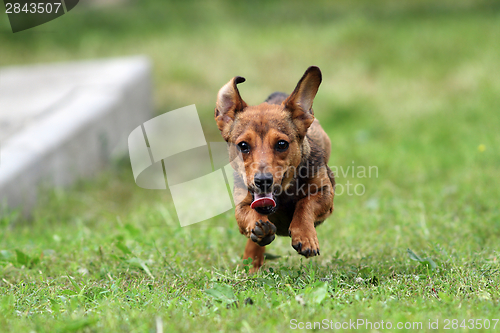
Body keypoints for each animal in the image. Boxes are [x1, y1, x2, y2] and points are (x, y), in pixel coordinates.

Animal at [213, 66, 334, 272]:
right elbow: (250, 214)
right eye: (243, 145)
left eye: (281, 144)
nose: (263, 181)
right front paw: (260, 229)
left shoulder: (325, 192)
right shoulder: (241, 205)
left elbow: (306, 204)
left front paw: (305, 236)